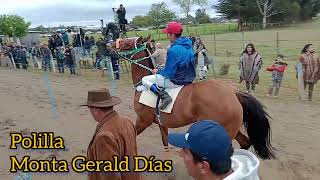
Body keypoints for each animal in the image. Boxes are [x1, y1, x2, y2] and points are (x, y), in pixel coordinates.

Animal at [116, 35, 276, 160]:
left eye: (126, 43)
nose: (112, 46)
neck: (142, 86)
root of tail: (233, 93)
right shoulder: (162, 123)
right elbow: (165, 142)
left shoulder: (143, 120)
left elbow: (132, 135)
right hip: (232, 129)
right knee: (245, 143)